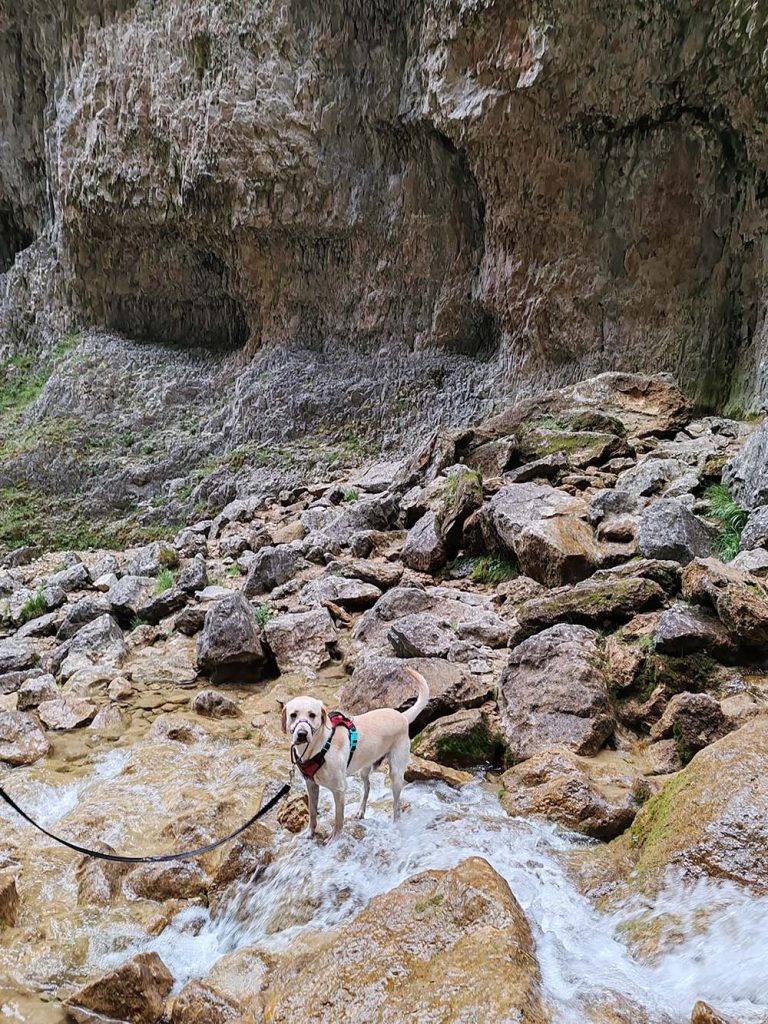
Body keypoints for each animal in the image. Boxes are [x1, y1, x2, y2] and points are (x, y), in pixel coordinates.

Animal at [282, 663, 430, 839]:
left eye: (312, 715)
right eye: (293, 715)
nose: (302, 734)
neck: (319, 747)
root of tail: (403, 716)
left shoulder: (339, 790)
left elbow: (338, 820)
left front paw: (334, 839)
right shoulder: (311, 785)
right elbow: (312, 813)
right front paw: (310, 833)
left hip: (396, 772)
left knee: (396, 805)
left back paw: (395, 824)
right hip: (364, 769)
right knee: (367, 787)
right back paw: (360, 811)